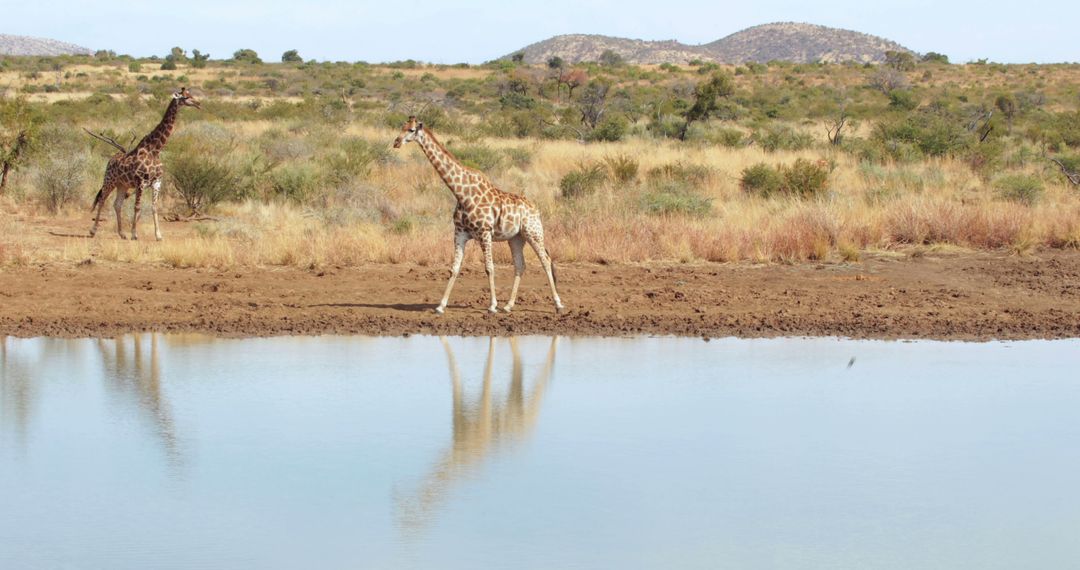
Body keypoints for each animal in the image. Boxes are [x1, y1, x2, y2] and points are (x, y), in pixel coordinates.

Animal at [88, 86, 200, 240]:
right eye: (186, 97)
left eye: (191, 94)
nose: (198, 103)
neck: (155, 150)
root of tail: (110, 160)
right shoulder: (140, 182)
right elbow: (137, 207)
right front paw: (134, 234)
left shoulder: (157, 182)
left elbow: (154, 207)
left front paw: (158, 235)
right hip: (109, 181)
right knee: (102, 199)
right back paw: (93, 231)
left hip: (122, 185)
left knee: (117, 204)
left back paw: (122, 234)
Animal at [395, 113, 565, 313]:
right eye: (401, 127)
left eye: (411, 130)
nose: (396, 142)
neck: (461, 193)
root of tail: (535, 209)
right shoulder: (460, 233)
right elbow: (454, 268)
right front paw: (440, 306)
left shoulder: (485, 232)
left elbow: (489, 268)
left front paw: (492, 306)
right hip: (516, 238)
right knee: (520, 265)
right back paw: (508, 306)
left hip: (533, 232)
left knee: (545, 260)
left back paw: (558, 304)